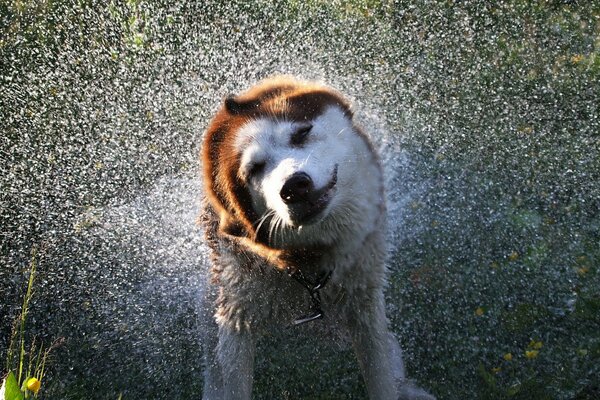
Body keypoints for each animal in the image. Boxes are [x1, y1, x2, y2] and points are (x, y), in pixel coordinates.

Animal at [199, 76, 434, 400]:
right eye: (255, 168)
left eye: (301, 133)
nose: (294, 186)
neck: (310, 263)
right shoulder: (237, 315)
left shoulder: (364, 296)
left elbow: (381, 375)